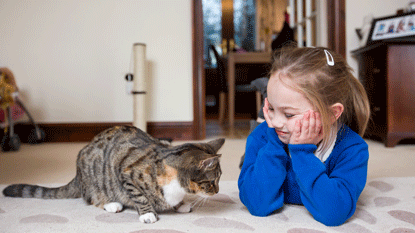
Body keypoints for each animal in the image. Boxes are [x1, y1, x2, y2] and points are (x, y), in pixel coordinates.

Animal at [2, 125, 224, 224]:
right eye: (213, 181)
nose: (217, 191)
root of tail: (77, 173)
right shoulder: (126, 174)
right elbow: (140, 196)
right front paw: (148, 214)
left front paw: (179, 204)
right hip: (94, 176)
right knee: (91, 198)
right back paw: (111, 204)